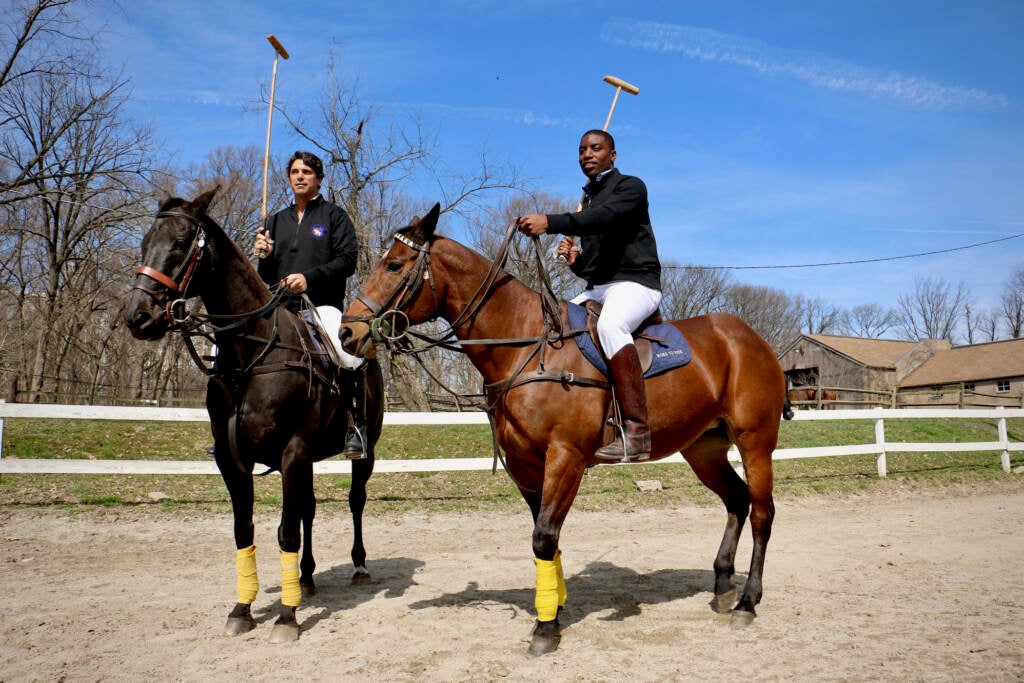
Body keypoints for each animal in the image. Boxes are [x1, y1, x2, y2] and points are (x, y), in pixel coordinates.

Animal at [122, 189, 385, 643]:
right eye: (144, 243)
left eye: (180, 243)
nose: (140, 317)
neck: (251, 354)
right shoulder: (235, 460)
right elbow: (245, 530)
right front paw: (243, 609)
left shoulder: (292, 453)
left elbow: (285, 531)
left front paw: (286, 617)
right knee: (308, 509)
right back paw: (307, 578)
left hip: (364, 451)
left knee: (355, 500)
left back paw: (359, 565)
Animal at [342, 204, 790, 655]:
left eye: (394, 264)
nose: (348, 331)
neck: (524, 345)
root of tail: (753, 339)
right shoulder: (525, 465)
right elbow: (546, 537)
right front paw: (554, 608)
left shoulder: (565, 457)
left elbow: (544, 536)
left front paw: (544, 627)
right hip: (704, 448)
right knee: (736, 500)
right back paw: (723, 585)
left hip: (755, 441)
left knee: (762, 513)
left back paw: (748, 601)